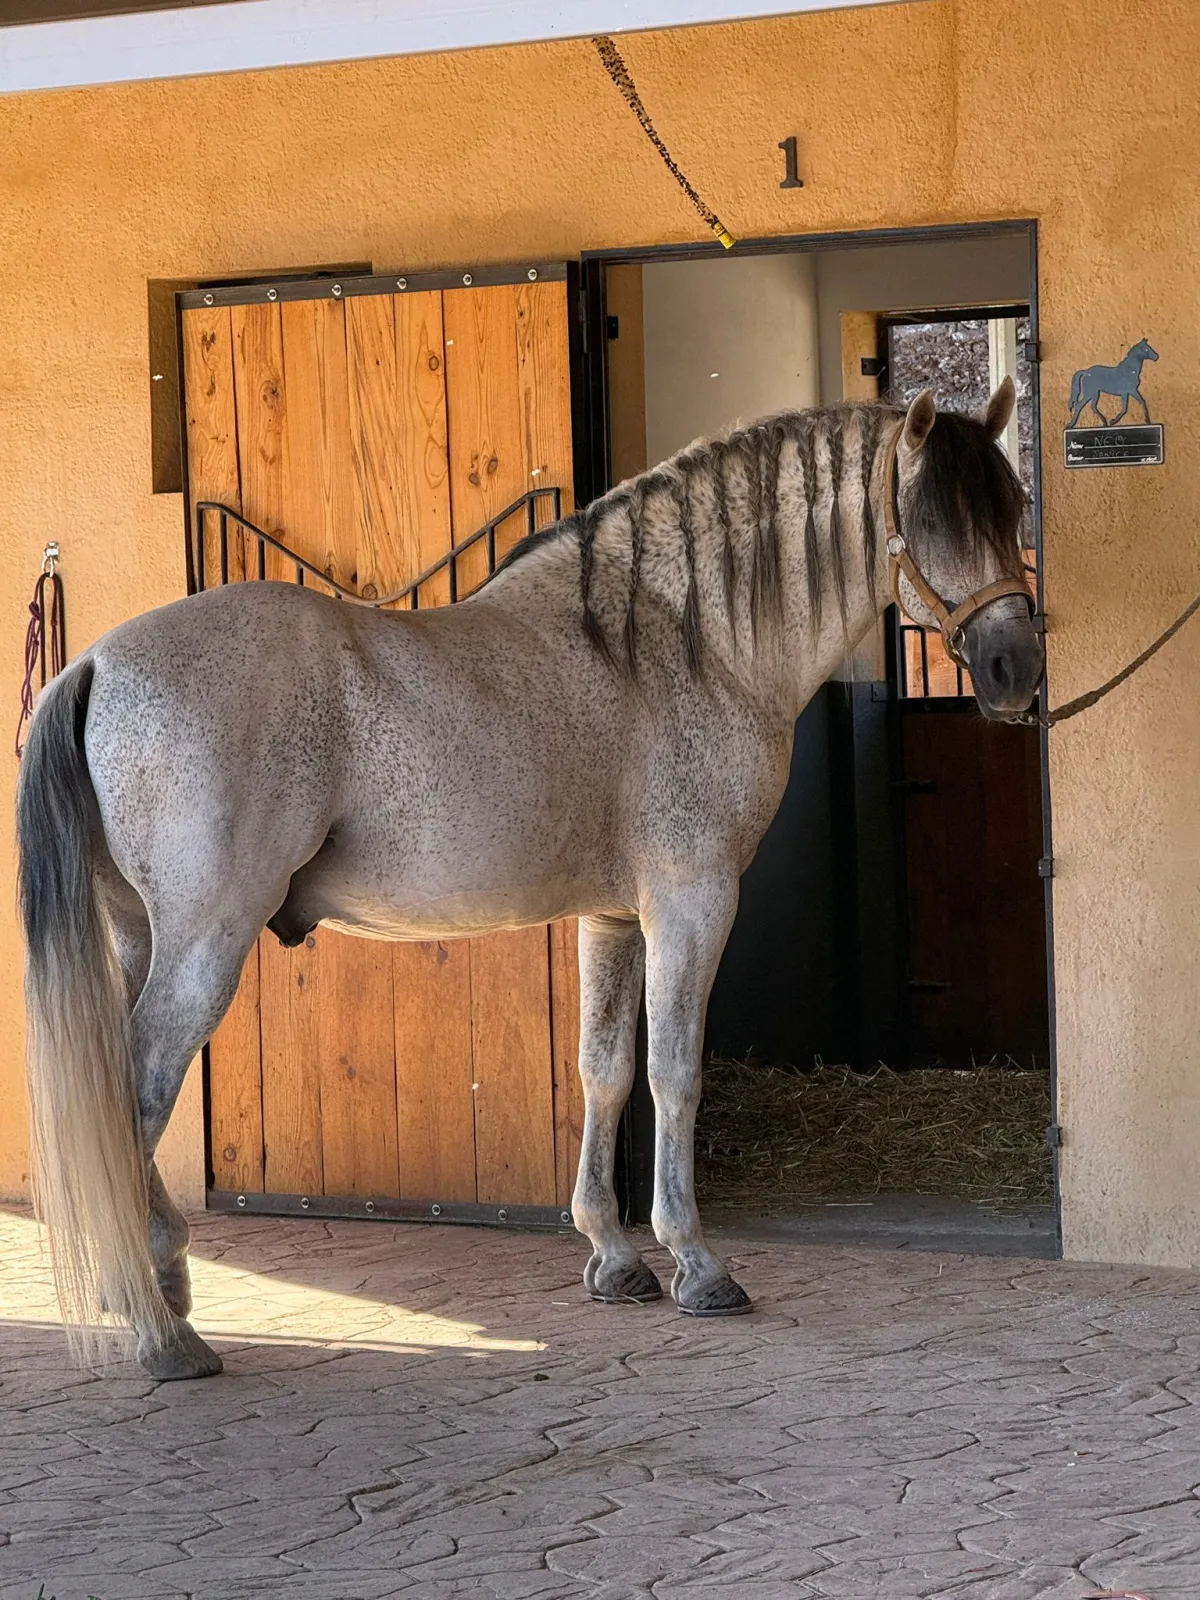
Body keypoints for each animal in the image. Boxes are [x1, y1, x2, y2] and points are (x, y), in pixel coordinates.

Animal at [16, 380, 1042, 1381]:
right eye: (935, 519)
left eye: (1015, 506)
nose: (1015, 670)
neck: (678, 645)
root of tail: (95, 661)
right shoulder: (693, 902)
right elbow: (674, 1074)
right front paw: (698, 1265)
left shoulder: (615, 919)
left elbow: (605, 1071)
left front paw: (614, 1259)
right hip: (205, 944)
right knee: (136, 1087)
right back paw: (161, 1331)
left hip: (139, 936)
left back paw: (159, 1283)